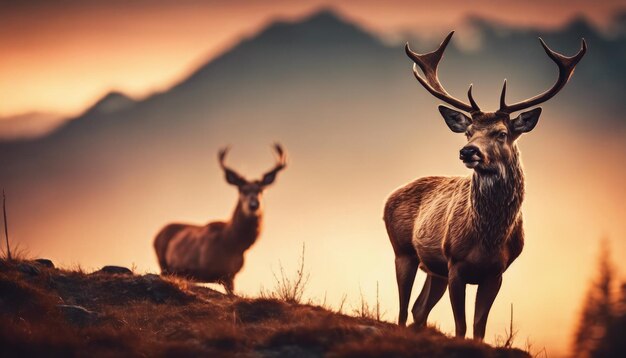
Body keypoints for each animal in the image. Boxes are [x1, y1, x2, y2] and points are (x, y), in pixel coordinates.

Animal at [155, 144, 286, 296]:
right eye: (242, 190)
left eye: (261, 190)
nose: (254, 205)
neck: (232, 242)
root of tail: (156, 234)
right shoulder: (199, 271)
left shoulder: (230, 275)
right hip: (163, 262)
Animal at [382, 32, 584, 340]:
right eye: (468, 132)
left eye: (501, 133)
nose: (468, 151)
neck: (488, 239)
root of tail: (389, 197)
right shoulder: (455, 265)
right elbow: (461, 326)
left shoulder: (496, 273)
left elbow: (479, 328)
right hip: (403, 250)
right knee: (403, 309)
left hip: (434, 269)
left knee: (419, 309)